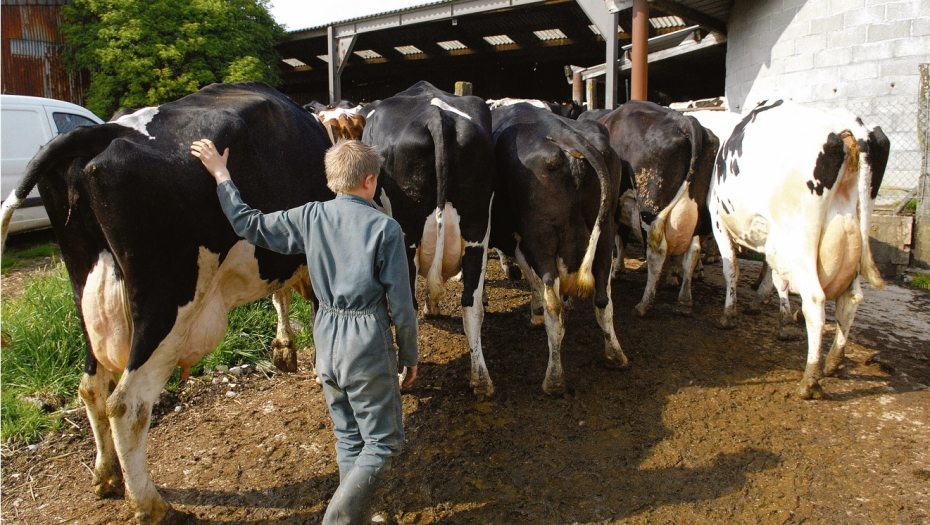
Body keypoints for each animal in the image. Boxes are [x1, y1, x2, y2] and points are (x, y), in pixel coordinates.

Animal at [0, 81, 334, 520]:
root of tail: (103, 131)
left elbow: (281, 295)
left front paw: (284, 350)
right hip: (167, 302)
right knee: (127, 404)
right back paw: (151, 505)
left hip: (85, 290)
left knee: (91, 387)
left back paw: (107, 476)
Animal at [358, 80, 496, 392]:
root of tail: (437, 117)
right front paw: (433, 306)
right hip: (477, 231)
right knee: (472, 304)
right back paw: (481, 379)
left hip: (404, 238)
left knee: (406, 306)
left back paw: (403, 377)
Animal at [490, 101, 628, 392]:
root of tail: (569, 137)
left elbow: (531, 278)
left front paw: (535, 311)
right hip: (605, 230)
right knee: (604, 299)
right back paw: (615, 355)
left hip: (542, 236)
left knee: (553, 304)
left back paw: (553, 378)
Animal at [596, 101, 716, 316]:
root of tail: (686, 121)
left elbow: (619, 239)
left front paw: (617, 270)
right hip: (697, 211)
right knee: (693, 250)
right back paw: (684, 300)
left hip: (651, 208)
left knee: (657, 251)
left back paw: (644, 304)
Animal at [708, 100, 888, 400]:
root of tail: (845, 124)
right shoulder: (772, 238)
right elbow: (776, 278)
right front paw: (782, 320)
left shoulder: (718, 220)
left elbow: (731, 267)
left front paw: (729, 314)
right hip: (851, 234)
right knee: (851, 299)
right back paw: (833, 362)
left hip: (800, 238)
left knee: (815, 300)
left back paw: (809, 380)